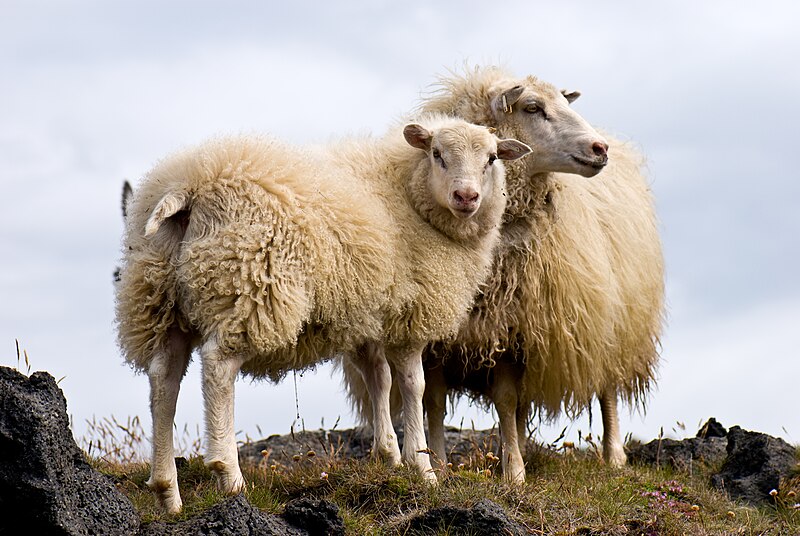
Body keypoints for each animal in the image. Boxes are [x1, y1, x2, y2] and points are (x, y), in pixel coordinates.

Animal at [114, 113, 532, 510]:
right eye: (437, 154)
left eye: (491, 158)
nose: (467, 196)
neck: (407, 192)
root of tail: (188, 187)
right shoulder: (411, 316)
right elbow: (413, 386)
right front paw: (422, 466)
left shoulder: (366, 315)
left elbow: (378, 378)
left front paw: (388, 455)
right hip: (249, 285)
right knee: (218, 367)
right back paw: (229, 474)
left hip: (157, 297)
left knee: (164, 376)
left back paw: (167, 490)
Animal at [340, 66, 664, 482]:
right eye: (533, 107)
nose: (600, 148)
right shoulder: (443, 336)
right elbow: (435, 400)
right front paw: (440, 463)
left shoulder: (513, 328)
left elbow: (506, 400)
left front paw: (514, 473)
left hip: (613, 323)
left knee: (605, 386)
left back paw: (613, 456)